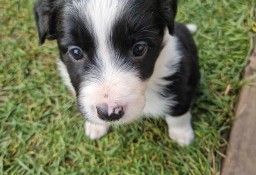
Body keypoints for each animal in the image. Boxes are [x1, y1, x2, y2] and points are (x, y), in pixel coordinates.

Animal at [34, 0, 200, 146]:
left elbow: (178, 113)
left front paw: (182, 135)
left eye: (139, 48)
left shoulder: (181, 78)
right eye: (76, 52)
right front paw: (96, 126)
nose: (109, 114)